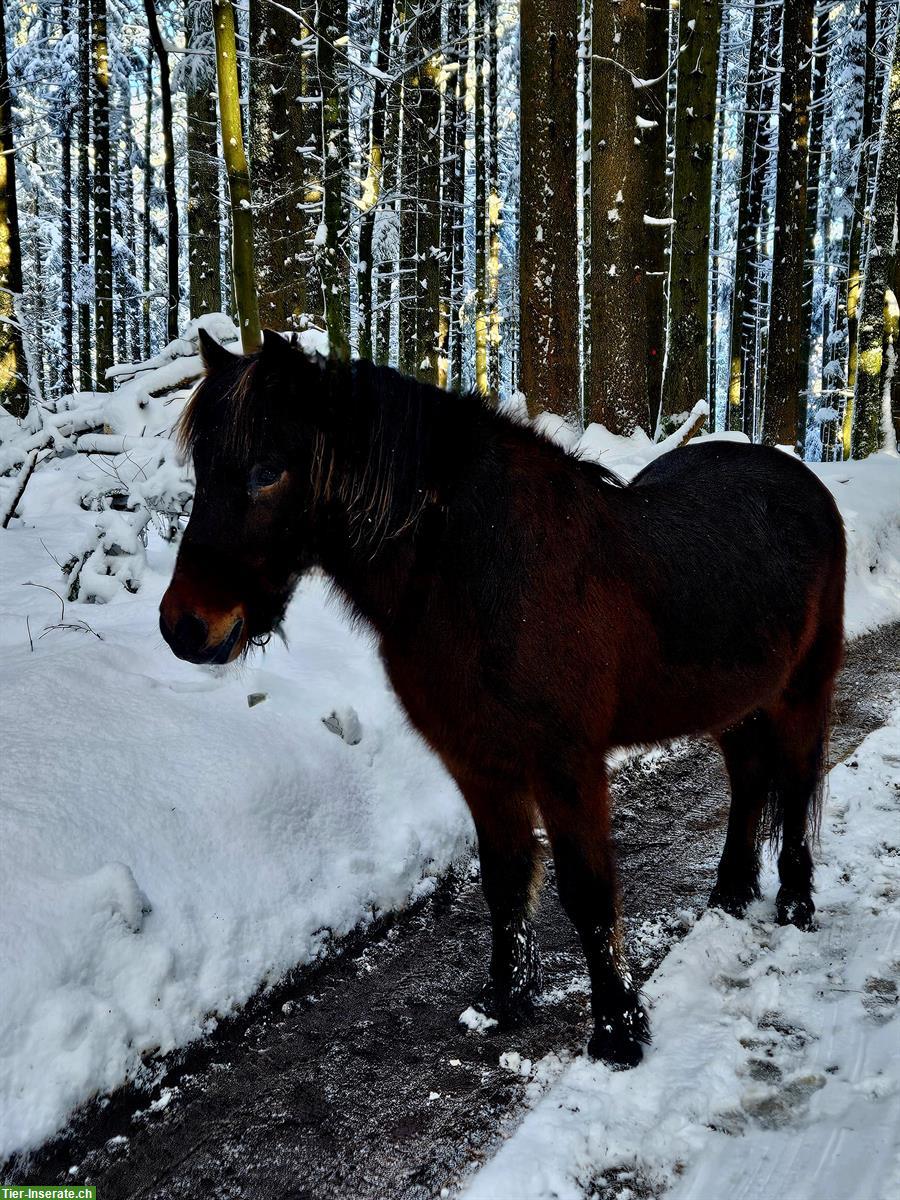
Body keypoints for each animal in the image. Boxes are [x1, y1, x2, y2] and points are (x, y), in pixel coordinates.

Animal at [160, 331, 844, 1070]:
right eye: (203, 469)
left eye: (266, 471)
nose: (184, 627)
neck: (479, 573)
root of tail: (804, 484)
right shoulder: (478, 761)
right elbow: (506, 876)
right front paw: (504, 1002)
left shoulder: (566, 764)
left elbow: (587, 889)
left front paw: (618, 1032)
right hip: (735, 702)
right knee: (749, 781)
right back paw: (730, 893)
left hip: (802, 690)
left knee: (796, 786)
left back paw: (794, 904)